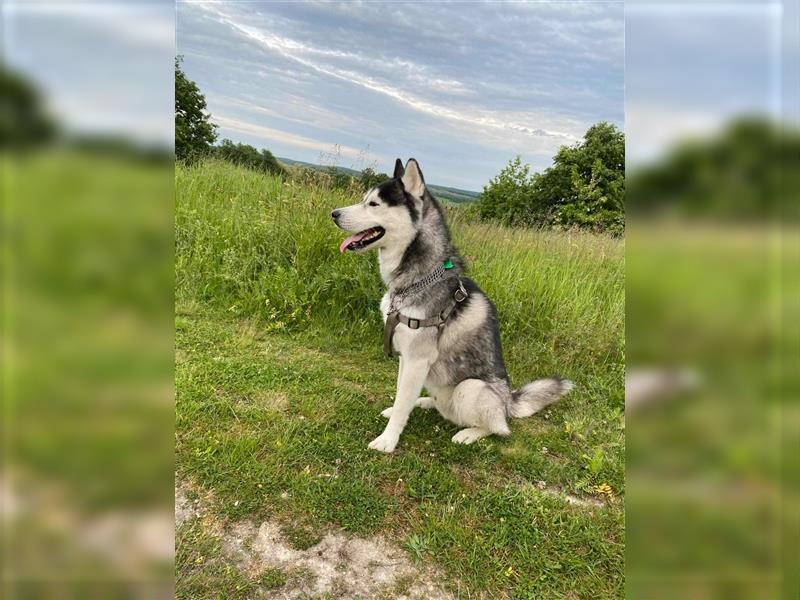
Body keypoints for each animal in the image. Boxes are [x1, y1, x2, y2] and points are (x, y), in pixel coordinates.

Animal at [332, 157, 576, 452]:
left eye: (374, 204)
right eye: (364, 199)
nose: (334, 214)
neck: (419, 279)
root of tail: (509, 402)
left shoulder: (417, 359)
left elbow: (402, 403)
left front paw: (387, 440)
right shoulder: (405, 357)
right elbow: (401, 395)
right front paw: (396, 413)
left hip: (470, 389)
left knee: (499, 429)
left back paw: (469, 433)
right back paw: (425, 402)